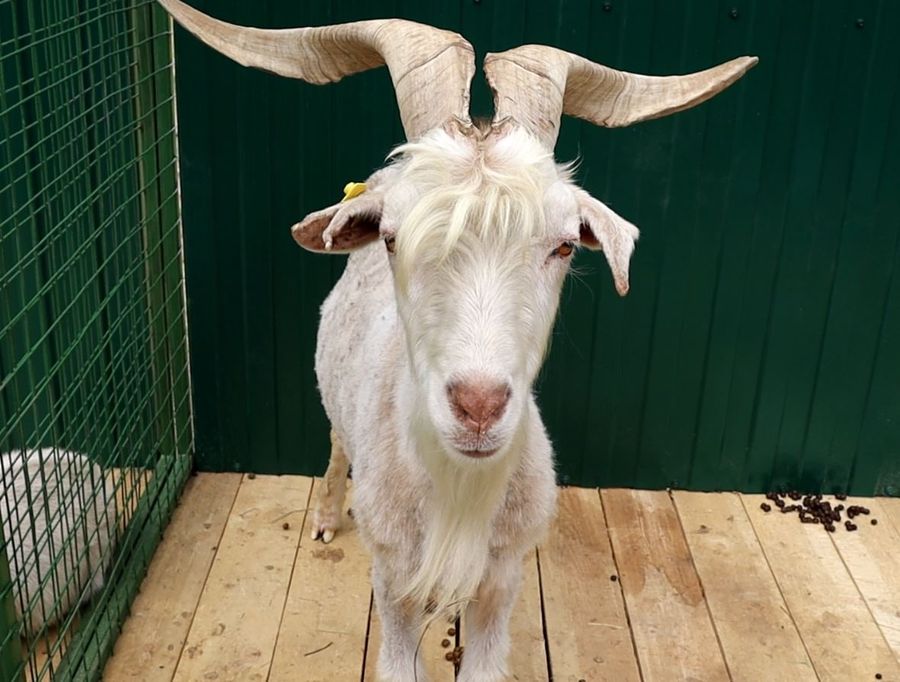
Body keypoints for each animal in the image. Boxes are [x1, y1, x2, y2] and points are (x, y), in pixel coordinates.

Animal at [158, 2, 756, 679]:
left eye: (564, 245)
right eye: (393, 238)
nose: (478, 406)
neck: (458, 494)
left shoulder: (502, 582)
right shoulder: (393, 585)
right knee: (335, 445)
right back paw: (326, 518)